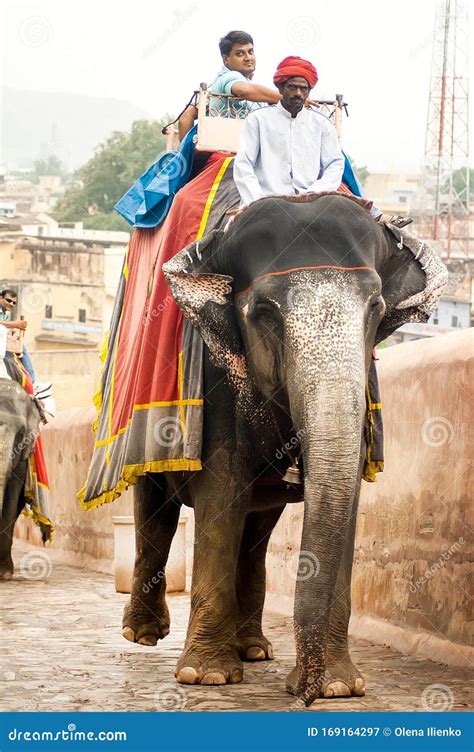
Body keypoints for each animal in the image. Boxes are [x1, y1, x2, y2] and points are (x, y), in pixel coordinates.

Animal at [120, 192, 446, 704]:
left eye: (375, 307)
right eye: (264, 311)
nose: (303, 695)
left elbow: (346, 495)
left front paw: (339, 686)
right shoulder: (217, 376)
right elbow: (222, 487)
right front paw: (206, 677)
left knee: (256, 533)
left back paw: (254, 649)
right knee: (155, 511)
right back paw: (144, 634)